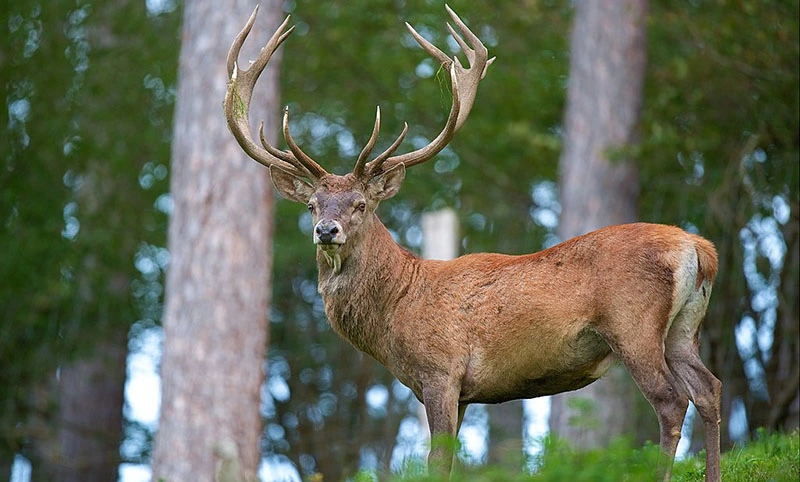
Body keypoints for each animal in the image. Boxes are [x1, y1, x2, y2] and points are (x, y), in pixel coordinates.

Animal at [222, 4, 720, 482]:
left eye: (361, 204)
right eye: (312, 205)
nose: (327, 230)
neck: (398, 307)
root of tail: (699, 249)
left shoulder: (441, 372)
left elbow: (436, 461)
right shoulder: (460, 392)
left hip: (633, 324)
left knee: (672, 400)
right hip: (683, 329)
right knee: (709, 390)